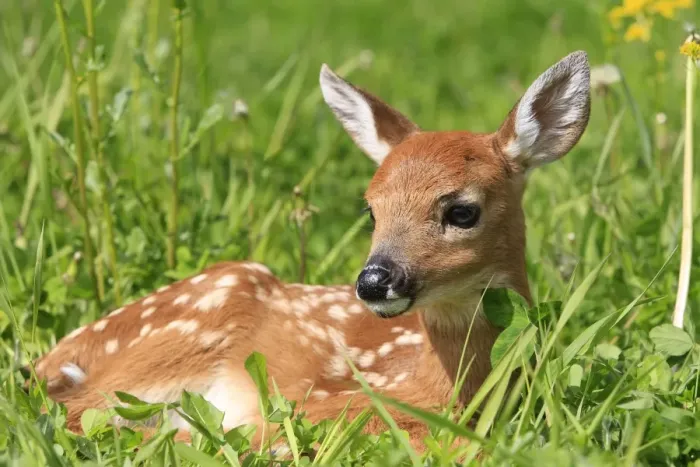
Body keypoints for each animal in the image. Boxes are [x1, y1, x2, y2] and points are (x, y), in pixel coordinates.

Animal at [28, 50, 591, 451]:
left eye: (462, 211)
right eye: (371, 210)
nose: (374, 280)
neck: (435, 389)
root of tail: (50, 360)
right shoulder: (318, 404)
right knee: (78, 413)